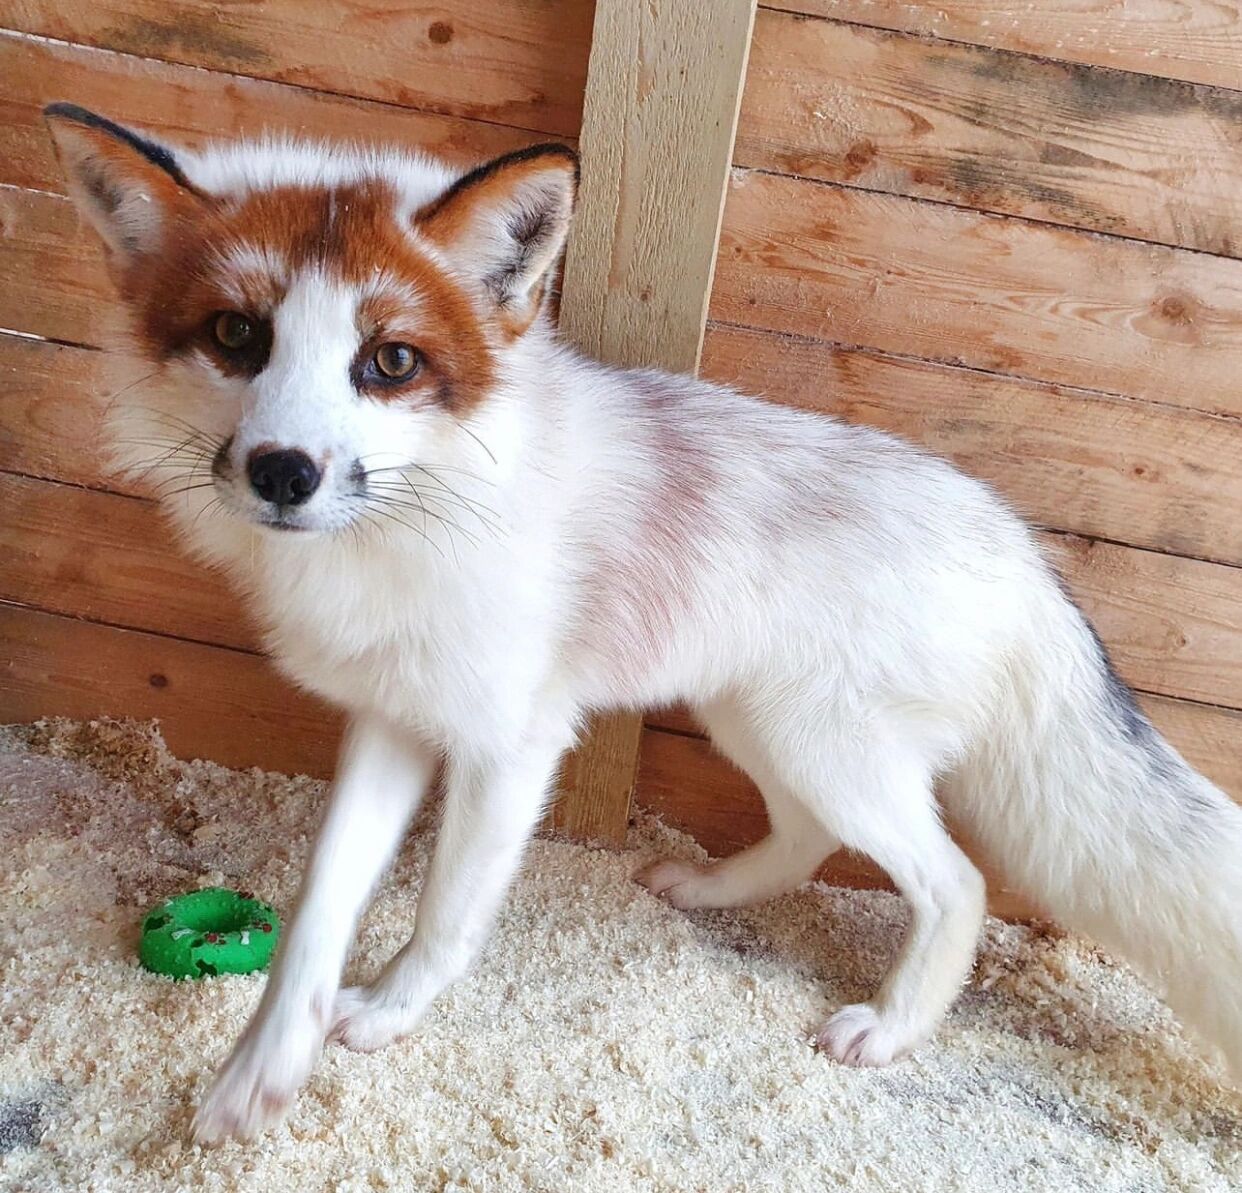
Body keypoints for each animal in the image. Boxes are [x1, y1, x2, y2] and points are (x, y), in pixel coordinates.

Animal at [42, 102, 1242, 1144]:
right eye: (236, 334)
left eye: (389, 361)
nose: (285, 473)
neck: (407, 530)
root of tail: (1028, 557)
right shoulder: (391, 722)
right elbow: (312, 921)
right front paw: (260, 1072)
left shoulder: (510, 743)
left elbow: (443, 914)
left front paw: (384, 1015)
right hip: (759, 725)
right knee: (807, 838)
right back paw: (707, 888)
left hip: (828, 746)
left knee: (958, 882)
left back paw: (892, 1029)